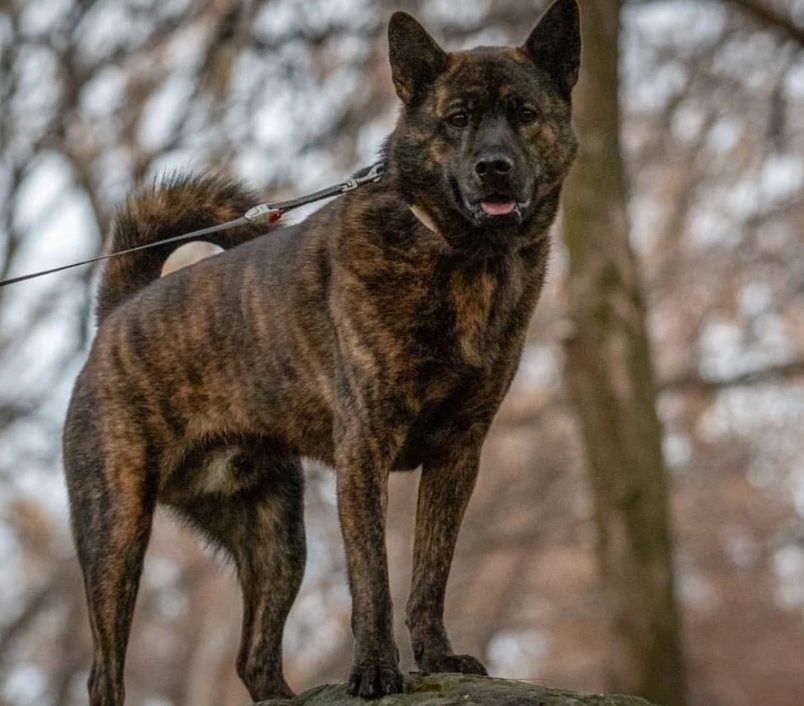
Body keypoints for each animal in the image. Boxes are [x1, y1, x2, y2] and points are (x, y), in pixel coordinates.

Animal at [61, 2, 576, 700]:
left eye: (524, 112)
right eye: (458, 118)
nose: (493, 166)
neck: (463, 259)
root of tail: (117, 312)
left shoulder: (458, 455)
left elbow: (430, 574)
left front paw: (438, 656)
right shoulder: (364, 453)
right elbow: (373, 581)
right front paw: (377, 671)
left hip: (277, 538)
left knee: (254, 658)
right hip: (116, 534)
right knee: (104, 674)